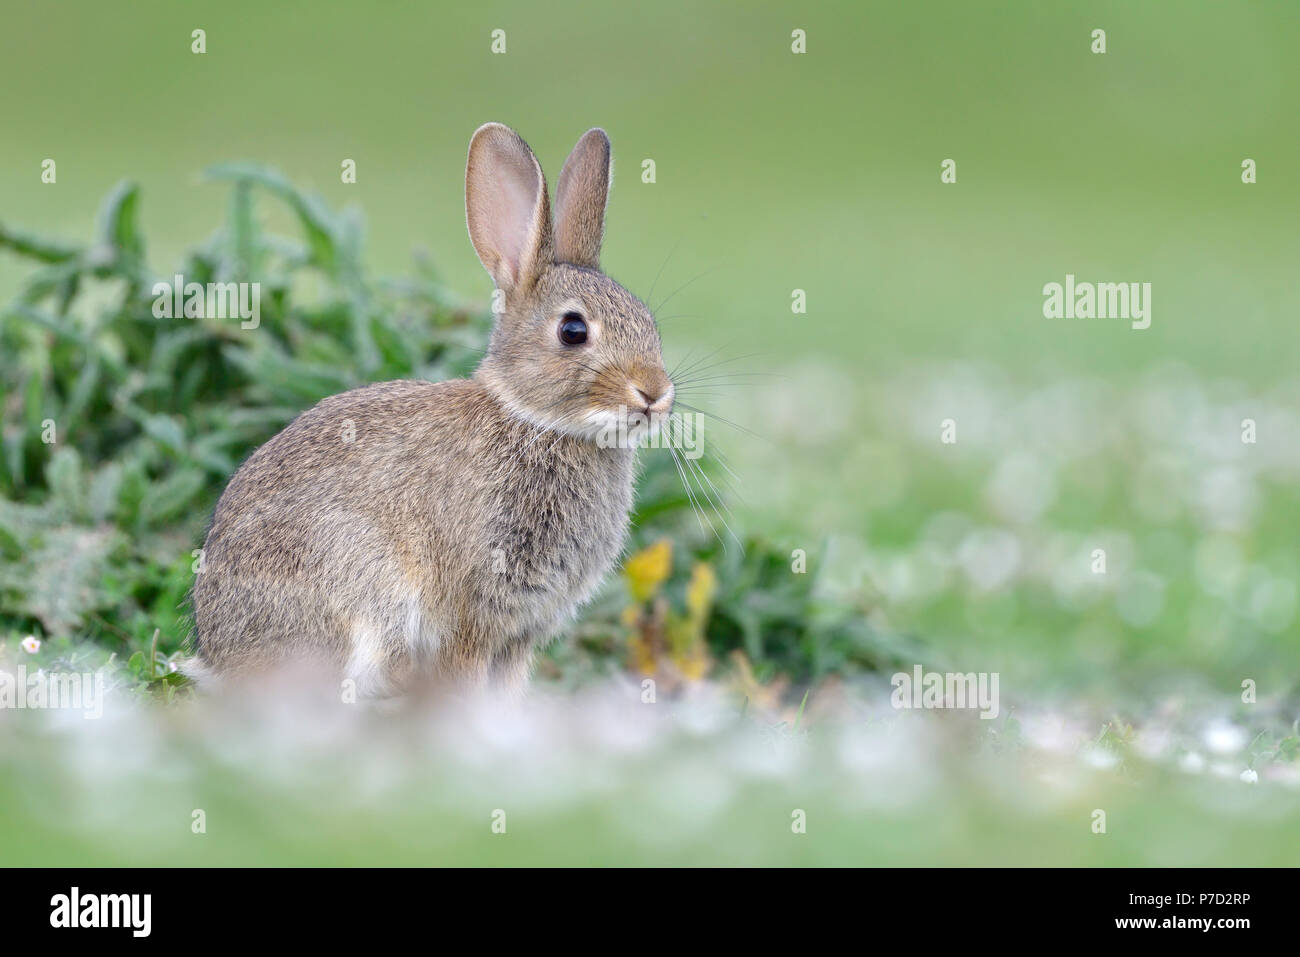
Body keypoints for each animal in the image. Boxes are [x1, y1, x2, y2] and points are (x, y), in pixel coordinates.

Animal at [192, 125, 681, 696]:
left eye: (649, 322)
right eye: (573, 330)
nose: (655, 394)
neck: (535, 421)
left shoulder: (519, 635)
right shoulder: (472, 612)